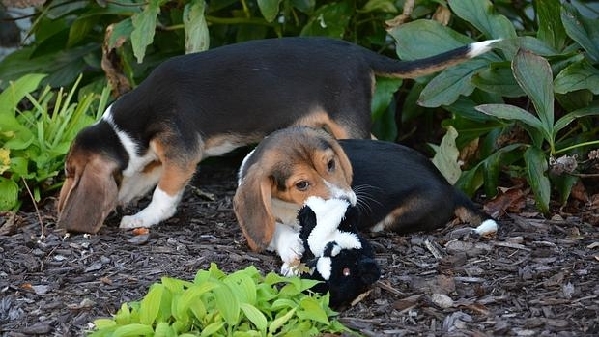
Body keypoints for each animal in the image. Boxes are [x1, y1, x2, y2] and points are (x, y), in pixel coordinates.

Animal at [58, 36, 500, 232]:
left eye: (67, 172)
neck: (126, 128)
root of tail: (358, 51)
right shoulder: (158, 154)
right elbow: (141, 176)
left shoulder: (181, 154)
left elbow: (165, 192)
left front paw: (143, 217)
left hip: (346, 119)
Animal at [237, 126, 500, 268]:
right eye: (301, 184)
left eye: (330, 164)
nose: (347, 204)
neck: (288, 206)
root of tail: (448, 185)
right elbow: (272, 229)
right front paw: (289, 244)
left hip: (400, 215)